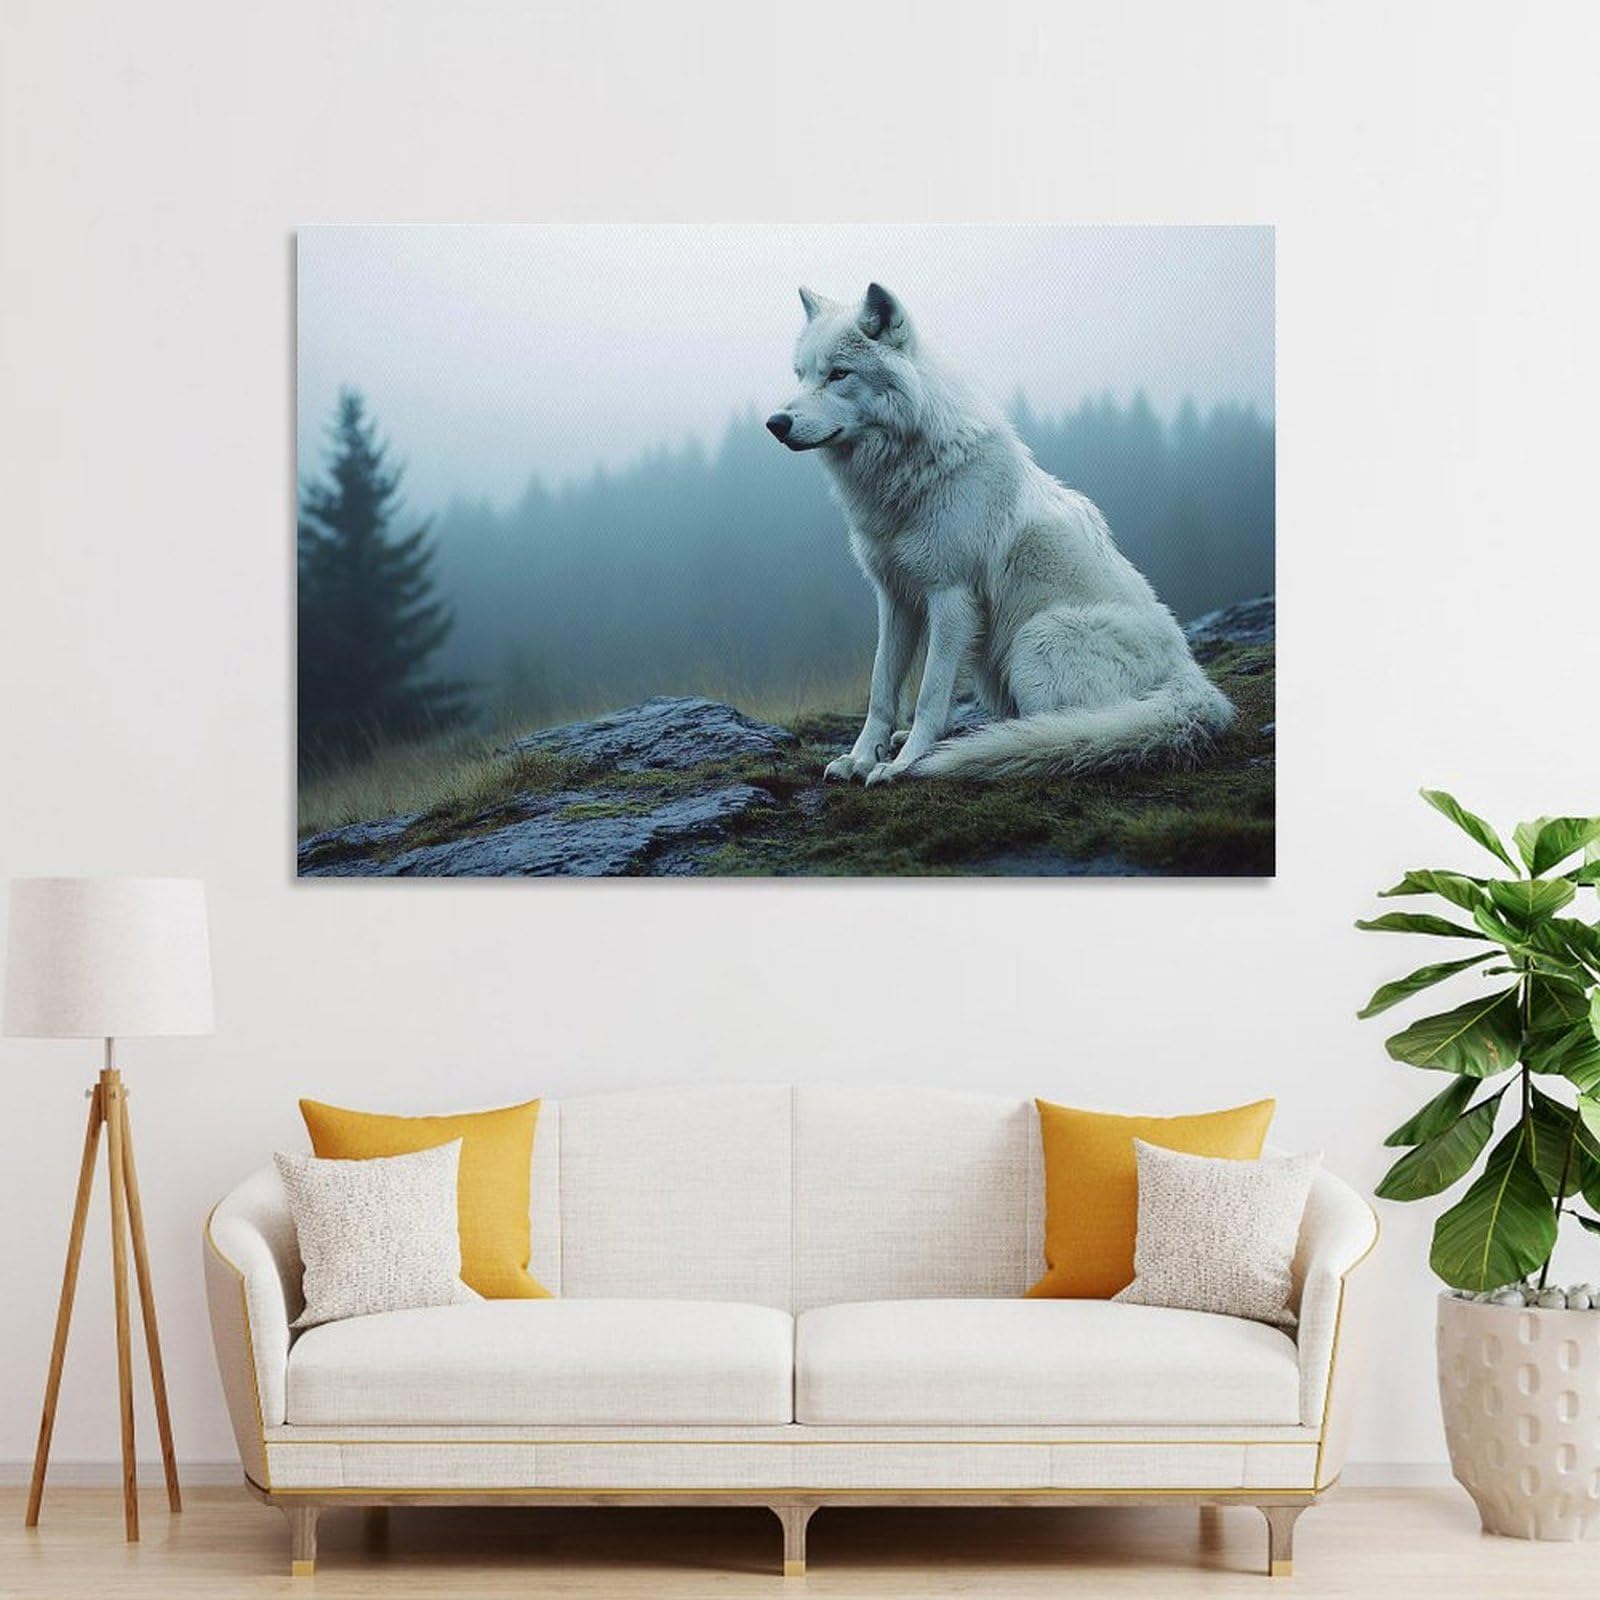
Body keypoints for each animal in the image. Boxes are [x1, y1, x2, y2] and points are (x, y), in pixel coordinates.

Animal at [766, 283, 1235, 784]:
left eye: (839, 374)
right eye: (802, 375)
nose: (776, 423)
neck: (913, 472)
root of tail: (1194, 683)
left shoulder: (951, 598)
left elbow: (930, 695)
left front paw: (904, 763)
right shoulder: (894, 598)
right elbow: (881, 690)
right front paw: (860, 757)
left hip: (1035, 639)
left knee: (1064, 728)